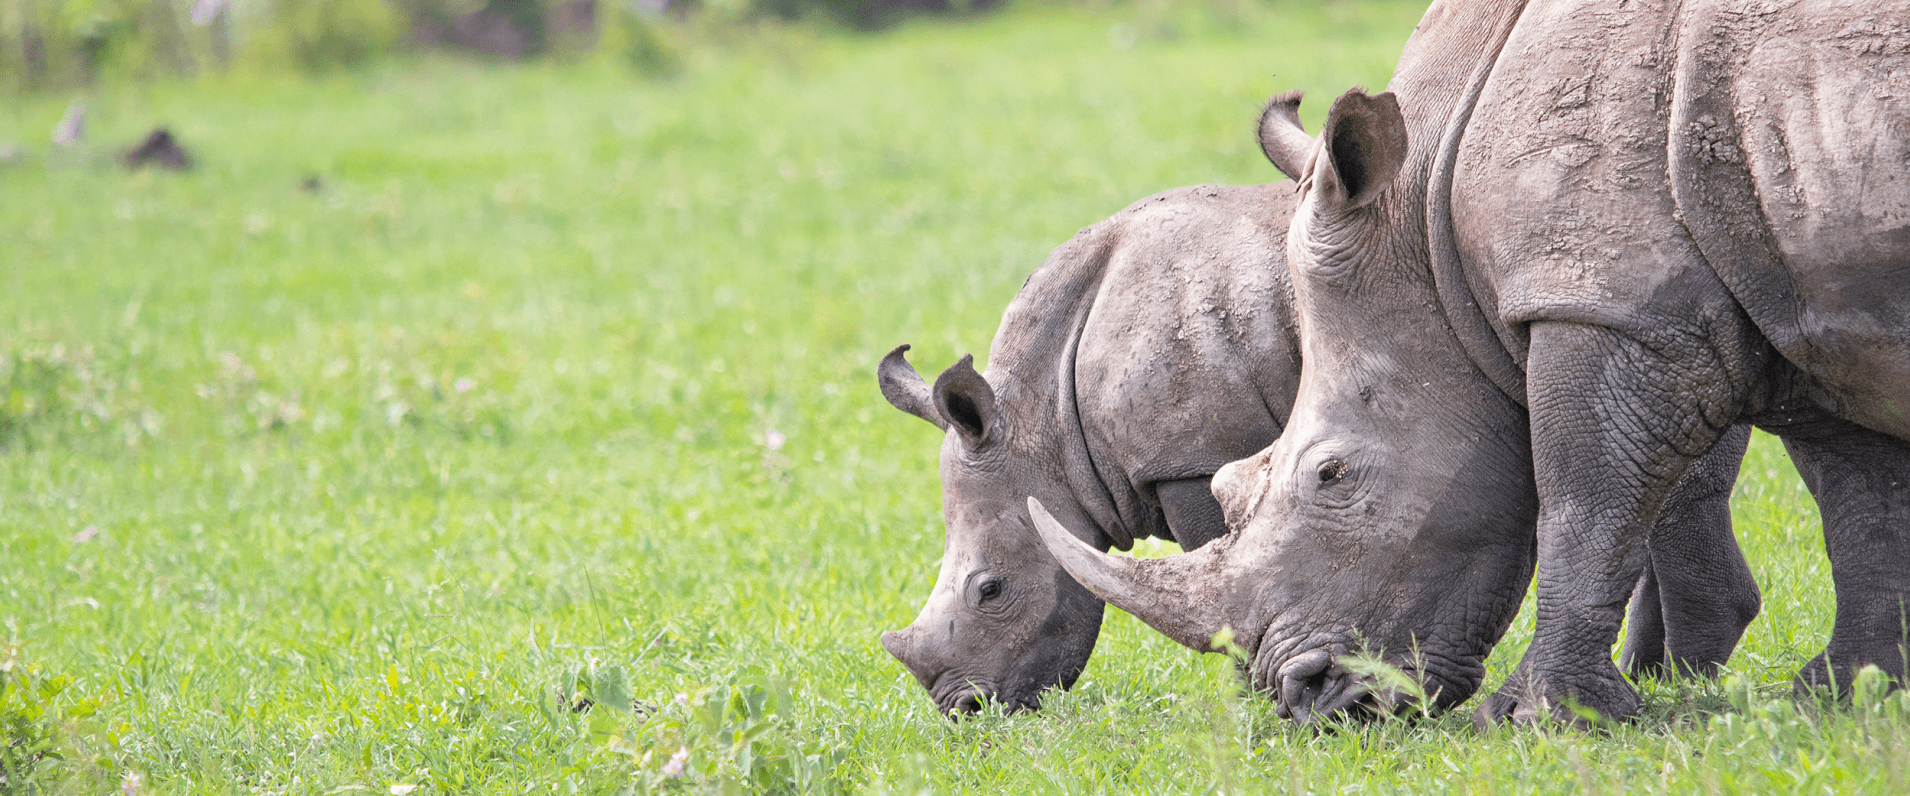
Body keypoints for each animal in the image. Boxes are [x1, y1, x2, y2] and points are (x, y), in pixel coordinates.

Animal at [881, 181, 1758, 715]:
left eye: (991, 590)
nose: (964, 711)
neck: (1043, 425)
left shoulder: (1195, 455)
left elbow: (1222, 554)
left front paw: (1252, 687)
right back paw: (1659, 678)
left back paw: (1677, 684)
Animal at [1032, 0, 1910, 726]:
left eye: (1333, 476)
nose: (1308, 697)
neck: (1426, 221)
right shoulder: (1820, 296)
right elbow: (1863, 502)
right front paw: (1848, 694)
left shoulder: (1604, 303)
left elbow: (1584, 508)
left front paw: (1536, 718)